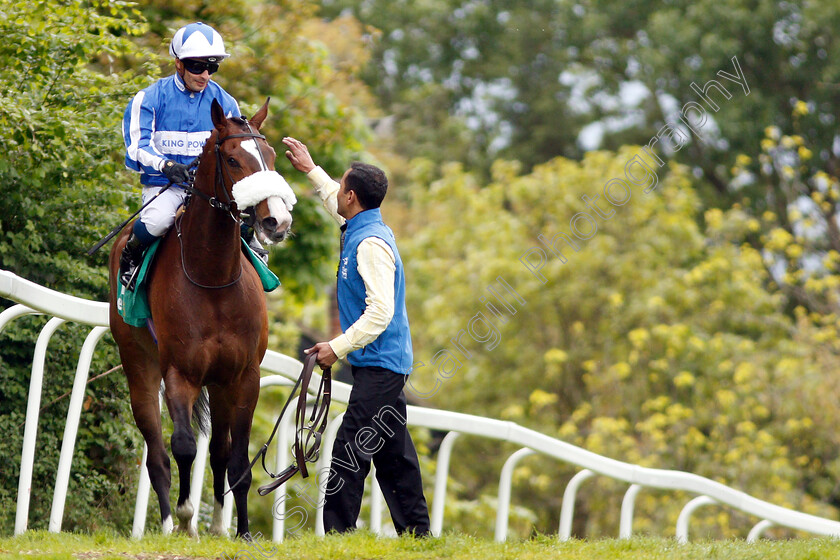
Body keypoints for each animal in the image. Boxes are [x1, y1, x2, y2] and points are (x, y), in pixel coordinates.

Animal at [107, 98, 296, 536]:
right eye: (233, 159)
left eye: (271, 156)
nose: (276, 221)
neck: (214, 280)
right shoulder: (181, 373)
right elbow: (183, 446)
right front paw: (186, 518)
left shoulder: (244, 377)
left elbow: (237, 460)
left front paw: (242, 532)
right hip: (139, 364)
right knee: (157, 451)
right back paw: (165, 524)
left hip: (220, 383)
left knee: (220, 453)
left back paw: (218, 526)